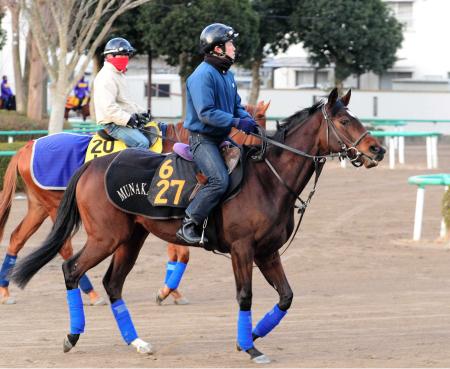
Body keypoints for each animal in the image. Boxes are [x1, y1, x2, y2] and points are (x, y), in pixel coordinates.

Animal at [0, 100, 268, 302]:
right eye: (257, 128)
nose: (261, 152)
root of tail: (28, 146)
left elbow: (178, 254)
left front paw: (171, 291)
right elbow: (182, 253)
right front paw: (167, 291)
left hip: (39, 207)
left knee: (16, 238)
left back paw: (5, 290)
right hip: (55, 206)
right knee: (64, 248)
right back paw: (91, 293)